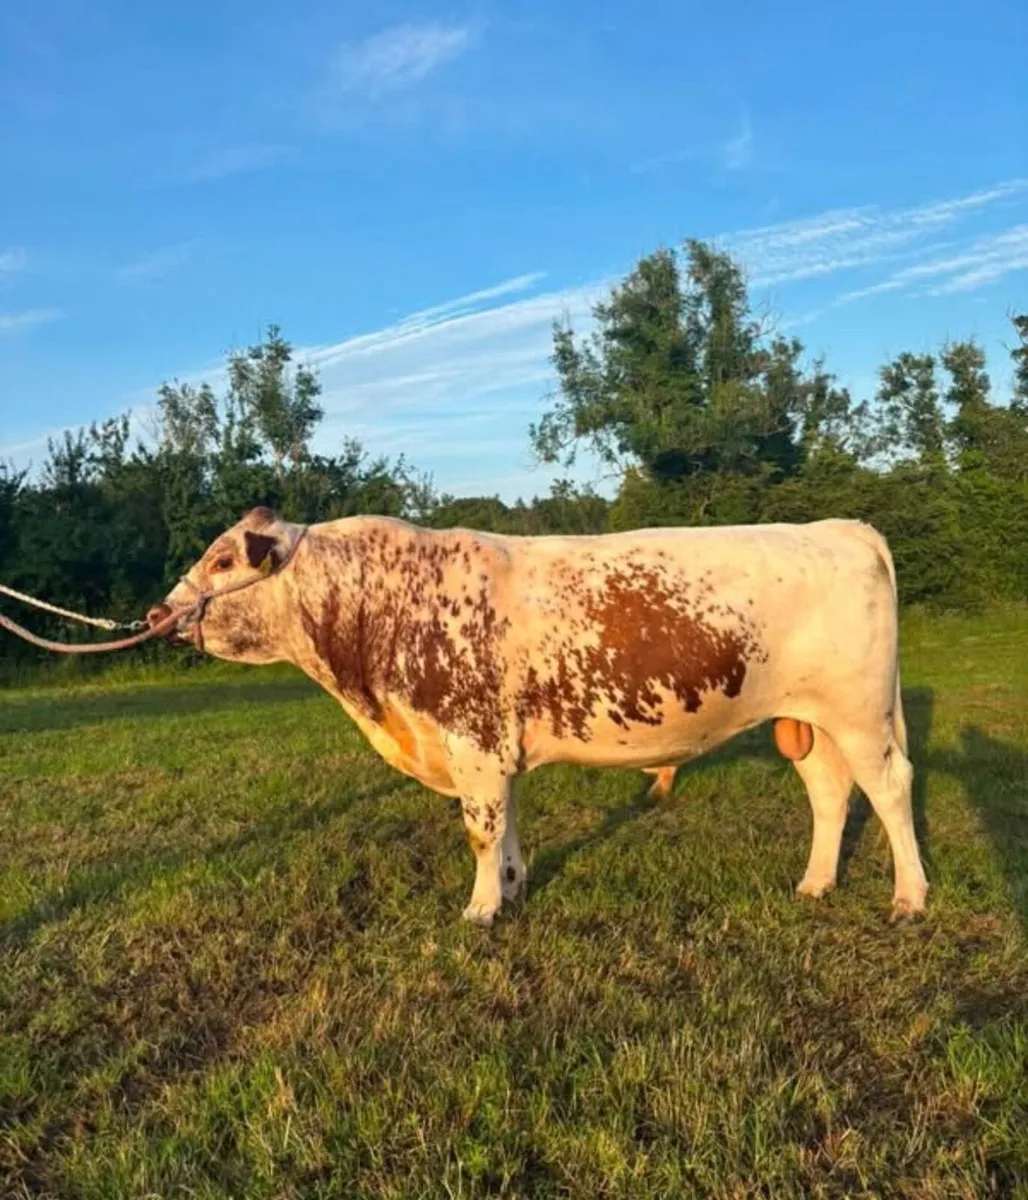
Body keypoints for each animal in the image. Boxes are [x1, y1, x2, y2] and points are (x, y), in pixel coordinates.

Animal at [148, 508, 928, 927]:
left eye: (223, 561)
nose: (158, 612)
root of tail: (841, 528)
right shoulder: (496, 749)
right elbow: (508, 824)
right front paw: (514, 888)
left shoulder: (471, 740)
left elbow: (480, 830)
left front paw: (481, 909)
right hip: (809, 721)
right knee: (831, 793)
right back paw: (816, 883)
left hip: (860, 714)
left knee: (889, 790)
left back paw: (910, 897)